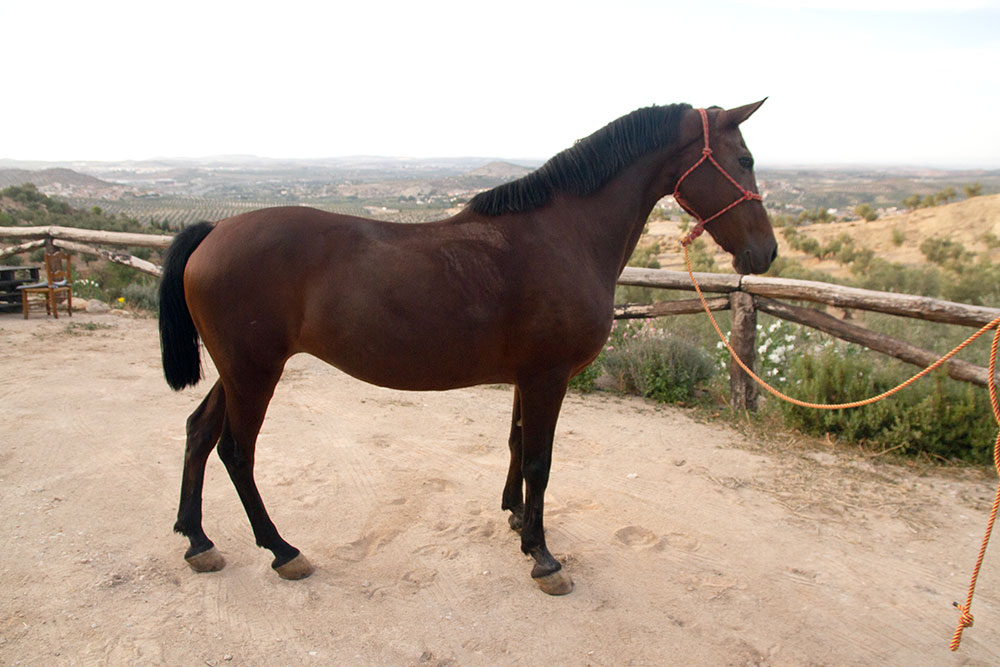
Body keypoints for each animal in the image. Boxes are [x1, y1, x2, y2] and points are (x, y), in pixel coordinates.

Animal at [158, 99, 780, 596]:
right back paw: (283, 551)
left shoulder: (528, 376)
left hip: (238, 371)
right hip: (254, 371)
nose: (766, 252)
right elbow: (540, 460)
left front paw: (517, 521)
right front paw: (544, 558)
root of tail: (214, 230)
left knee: (198, 431)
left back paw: (197, 540)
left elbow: (517, 444)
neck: (566, 235)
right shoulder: (549, 376)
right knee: (236, 452)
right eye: (745, 160)